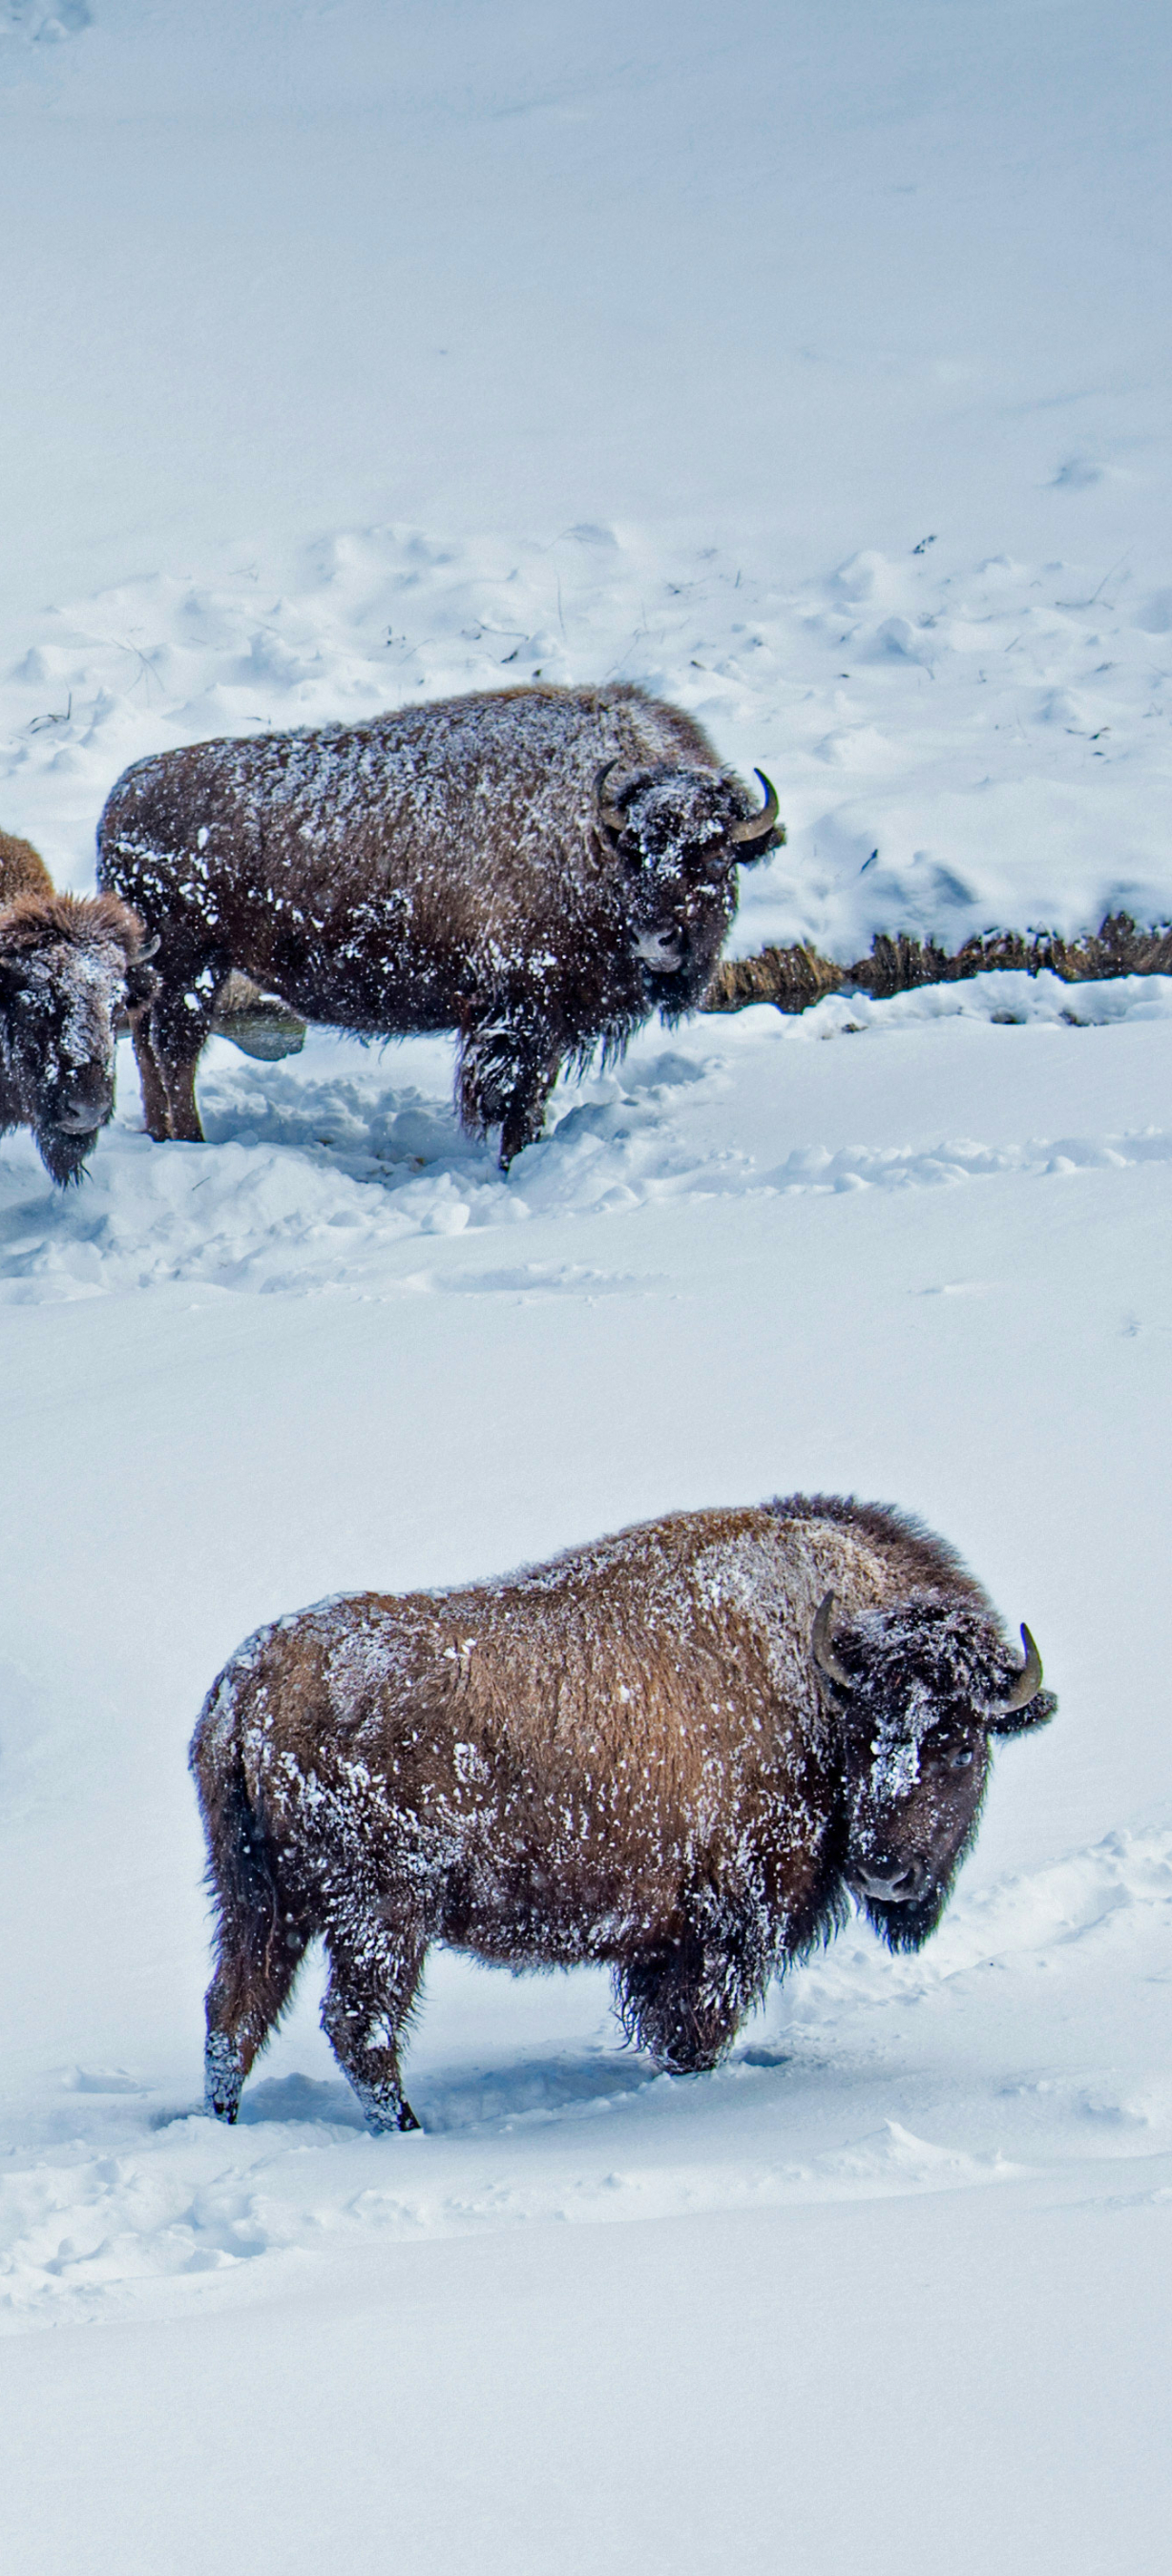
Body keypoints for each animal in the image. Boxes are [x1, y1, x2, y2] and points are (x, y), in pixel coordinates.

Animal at [96, 685, 783, 1169]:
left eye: (715, 854)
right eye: (637, 848)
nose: (656, 939)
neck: (593, 835)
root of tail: (124, 794)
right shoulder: (521, 1011)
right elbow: (517, 1095)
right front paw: (514, 1161)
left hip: (175, 970)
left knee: (152, 1047)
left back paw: (165, 1137)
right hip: (194, 963)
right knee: (173, 1048)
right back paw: (192, 1141)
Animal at [190, 1494, 1056, 2132]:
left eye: (961, 1743)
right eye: (870, 1732)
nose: (885, 1871)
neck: (818, 1685)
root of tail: (250, 1685)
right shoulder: (727, 1927)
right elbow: (693, 2029)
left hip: (256, 1897)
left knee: (235, 2013)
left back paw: (227, 2121)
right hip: (382, 1913)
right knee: (356, 2025)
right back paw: (408, 2128)